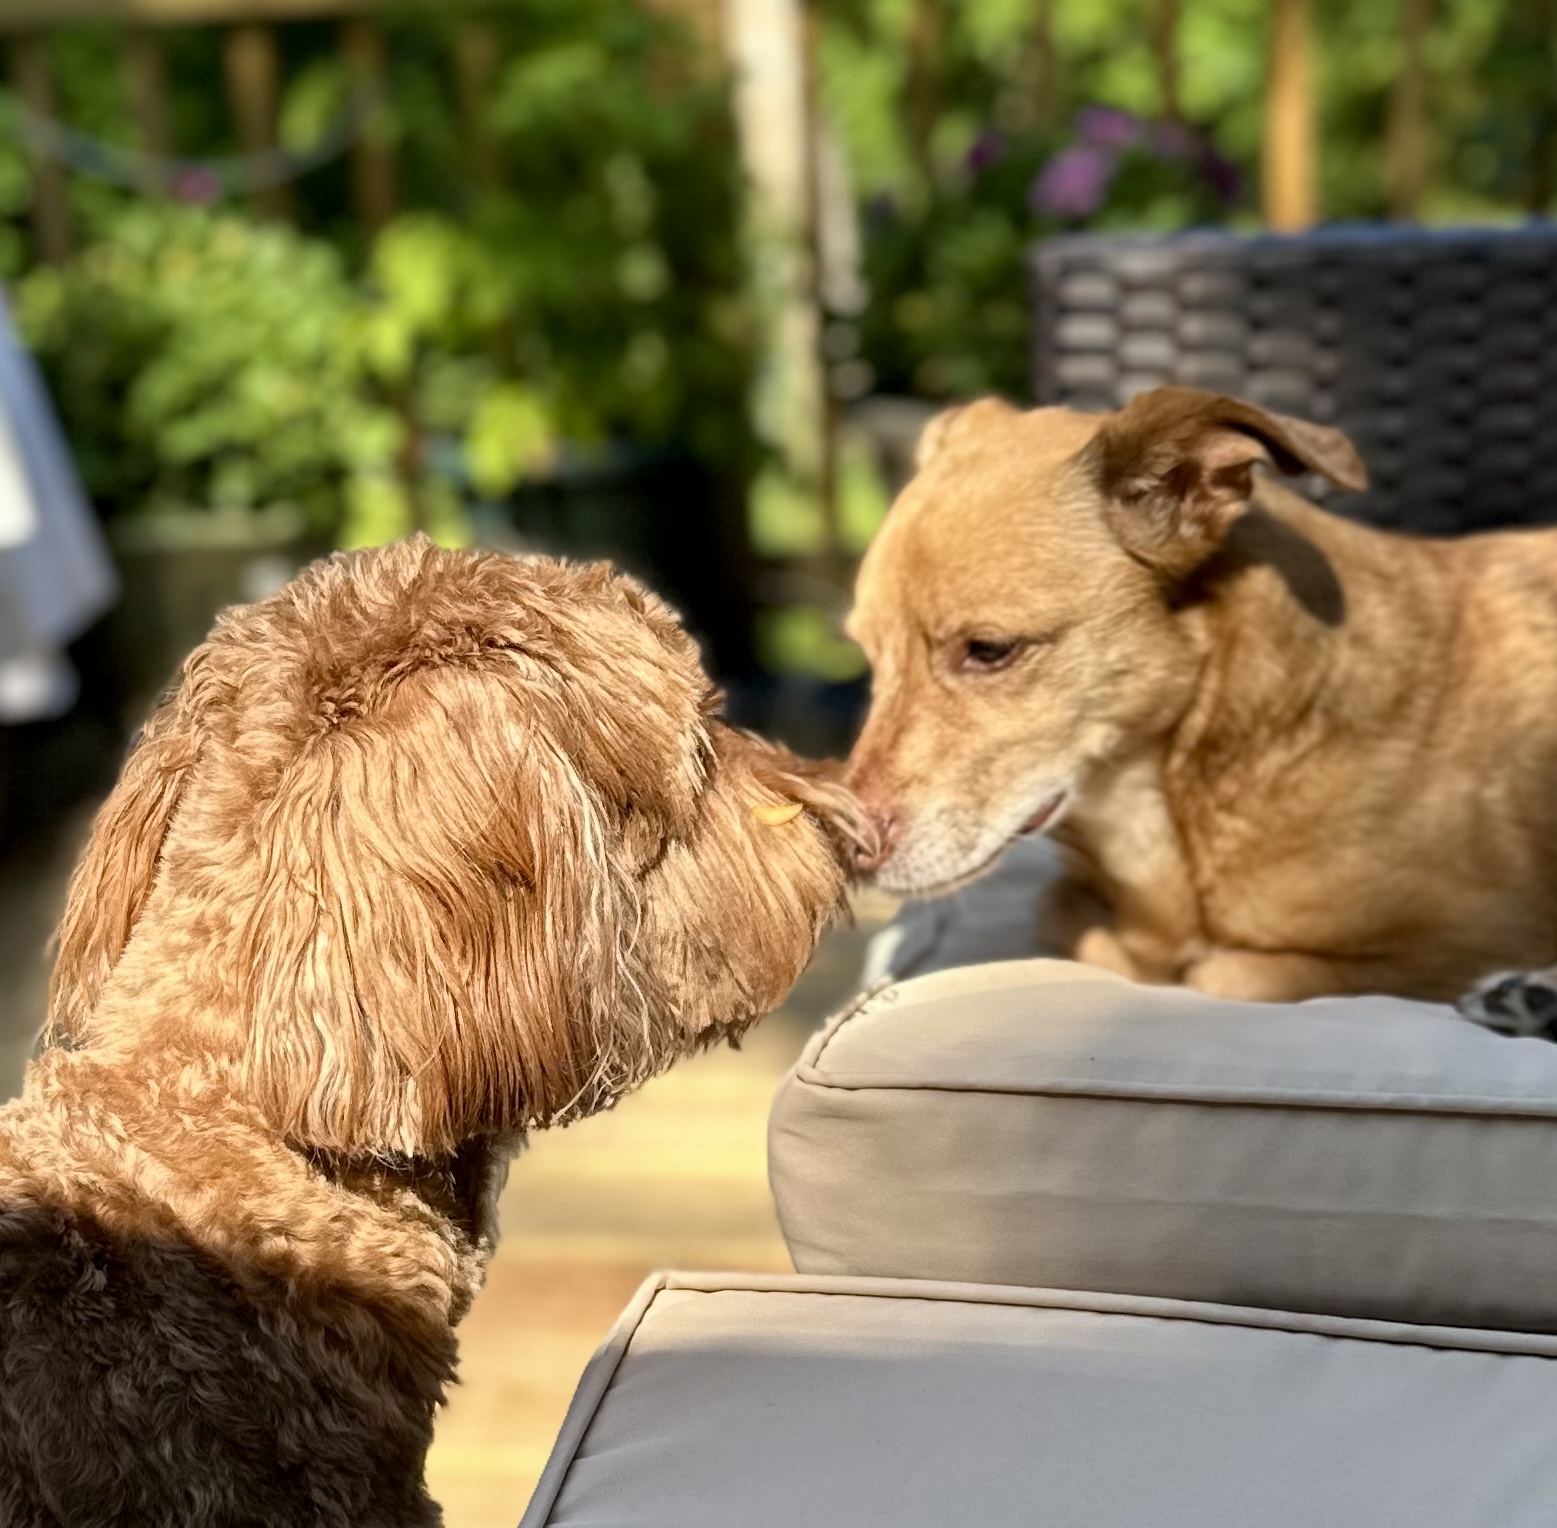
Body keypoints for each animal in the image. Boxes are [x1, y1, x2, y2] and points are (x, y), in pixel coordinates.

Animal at [844, 385, 1557, 1008]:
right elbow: (1074, 917)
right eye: (870, 657)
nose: (849, 854)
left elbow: (1220, 972)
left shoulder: (1460, 945)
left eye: (990, 649)